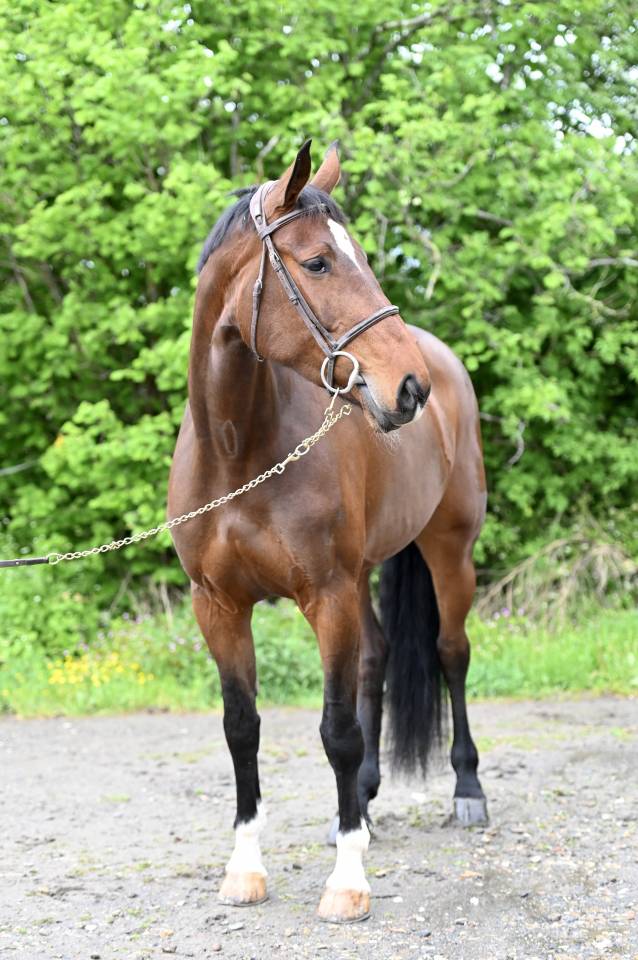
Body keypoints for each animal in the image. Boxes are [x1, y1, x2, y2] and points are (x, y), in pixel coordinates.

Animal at [168, 139, 488, 924]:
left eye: (363, 258)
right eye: (317, 263)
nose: (409, 388)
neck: (241, 451)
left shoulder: (328, 595)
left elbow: (336, 731)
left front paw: (347, 882)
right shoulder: (218, 606)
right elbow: (242, 729)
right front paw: (246, 868)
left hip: (449, 553)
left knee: (451, 654)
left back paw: (466, 792)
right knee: (376, 660)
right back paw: (364, 806)